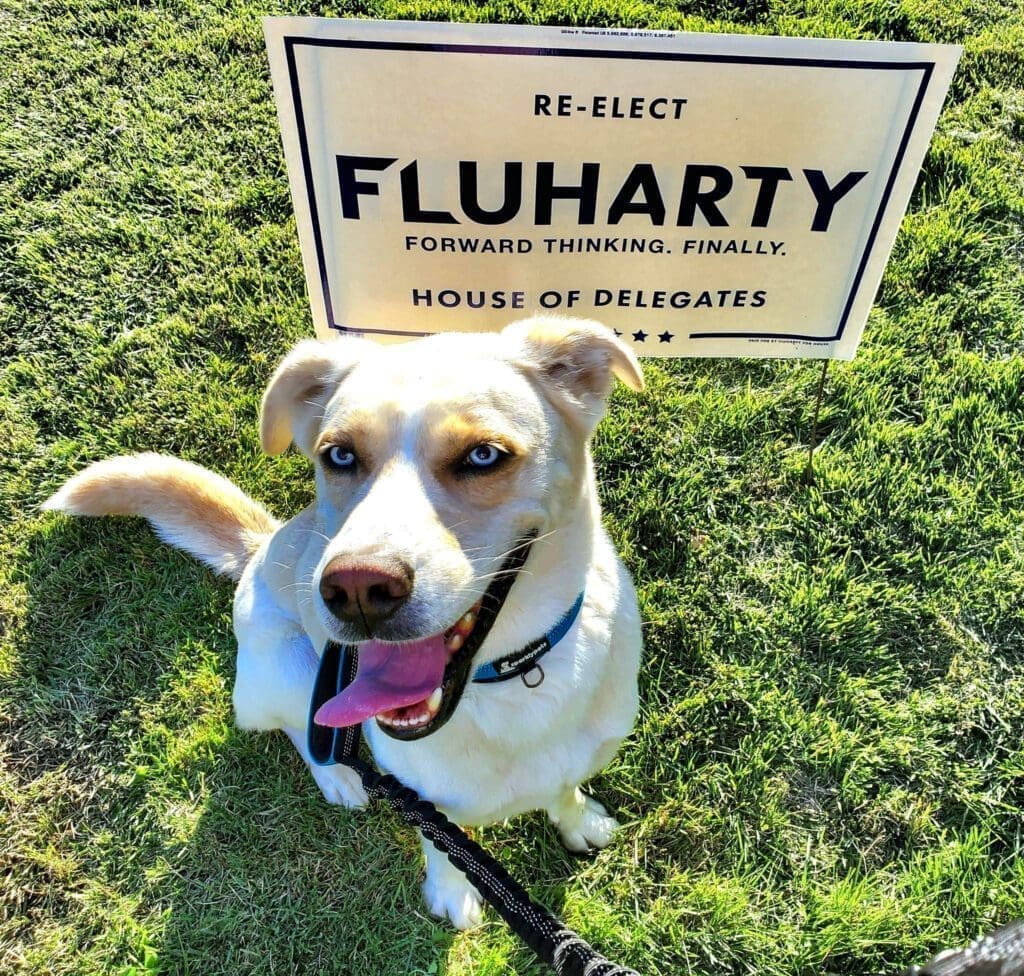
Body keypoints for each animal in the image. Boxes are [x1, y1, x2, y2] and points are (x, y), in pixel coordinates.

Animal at [48, 317, 643, 929]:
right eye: (339, 456)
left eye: (482, 455)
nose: (357, 589)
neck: (512, 676)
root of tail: (262, 546)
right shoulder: (426, 803)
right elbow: (443, 846)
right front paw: (452, 892)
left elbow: (565, 790)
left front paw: (579, 823)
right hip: (285, 669)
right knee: (305, 728)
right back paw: (339, 774)